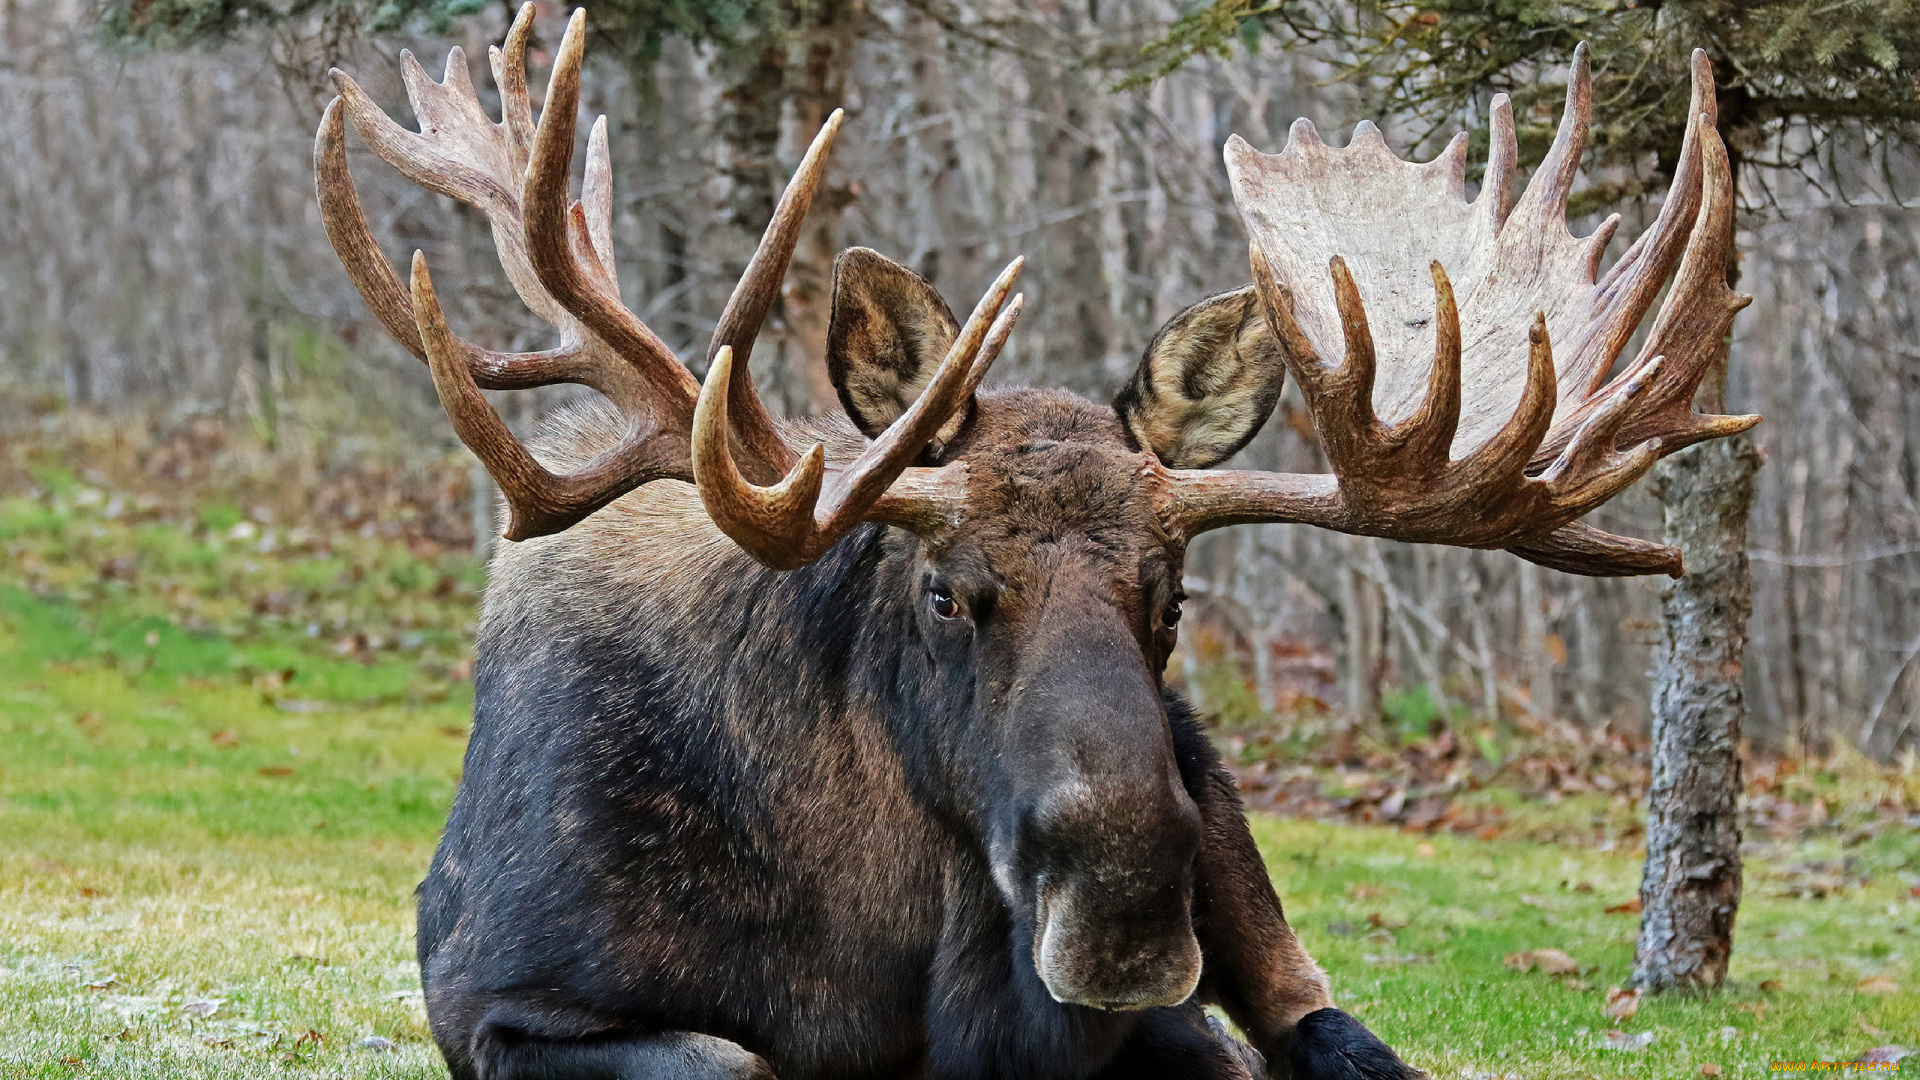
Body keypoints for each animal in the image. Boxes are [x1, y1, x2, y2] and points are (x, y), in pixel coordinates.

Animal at [315, 7, 1754, 1078]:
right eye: (946, 594)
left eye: (1172, 602)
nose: (1125, 904)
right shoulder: (511, 1004)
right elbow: (735, 1055)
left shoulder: (1162, 1017)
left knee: (1331, 1025)